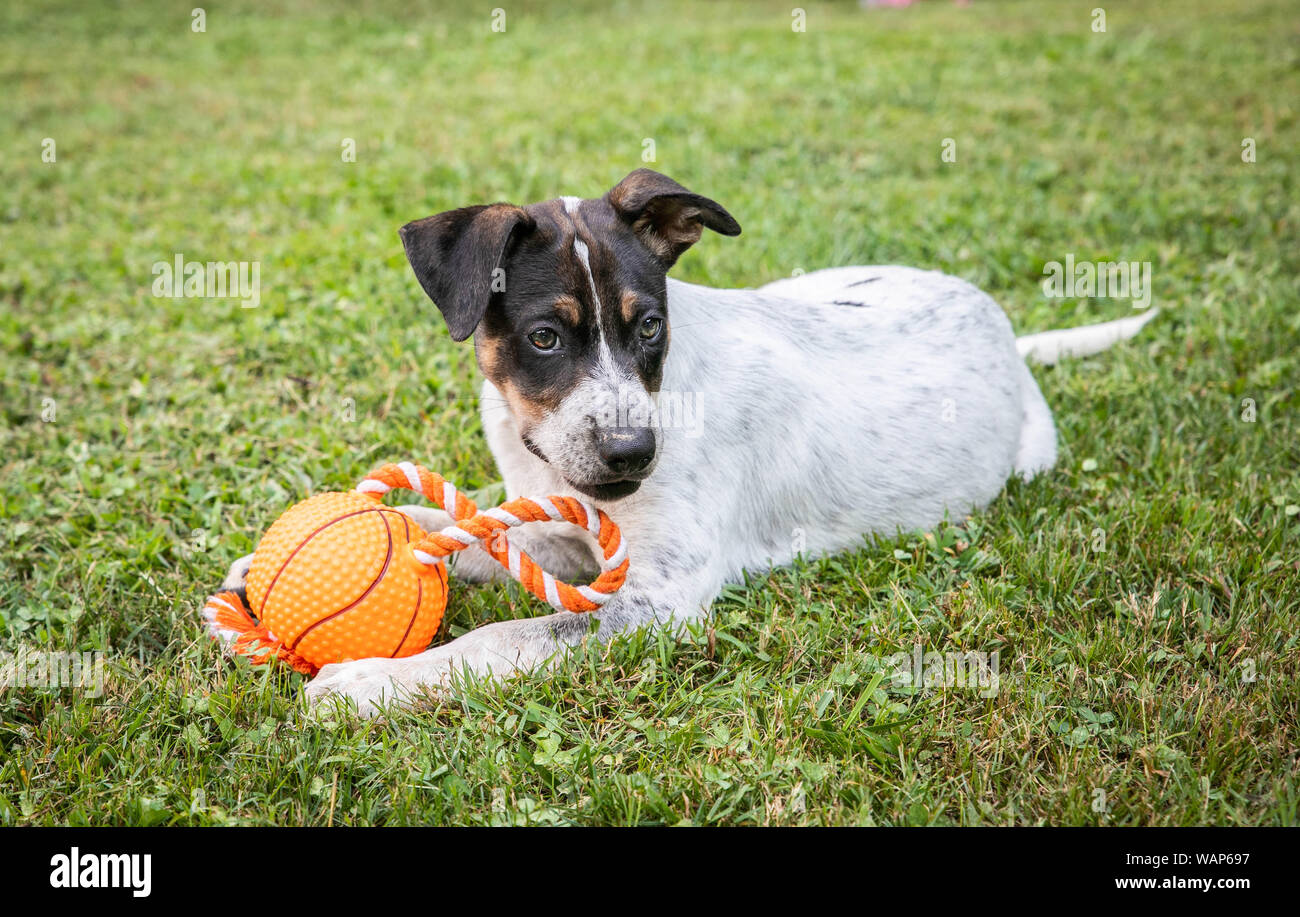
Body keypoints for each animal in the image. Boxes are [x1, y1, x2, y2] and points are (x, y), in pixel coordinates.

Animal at [213, 170, 1159, 717]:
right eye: (545, 338)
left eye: (650, 326)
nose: (635, 455)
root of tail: (1002, 327)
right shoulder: (557, 525)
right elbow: (460, 531)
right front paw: (278, 566)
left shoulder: (658, 597)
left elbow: (506, 636)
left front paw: (371, 682)